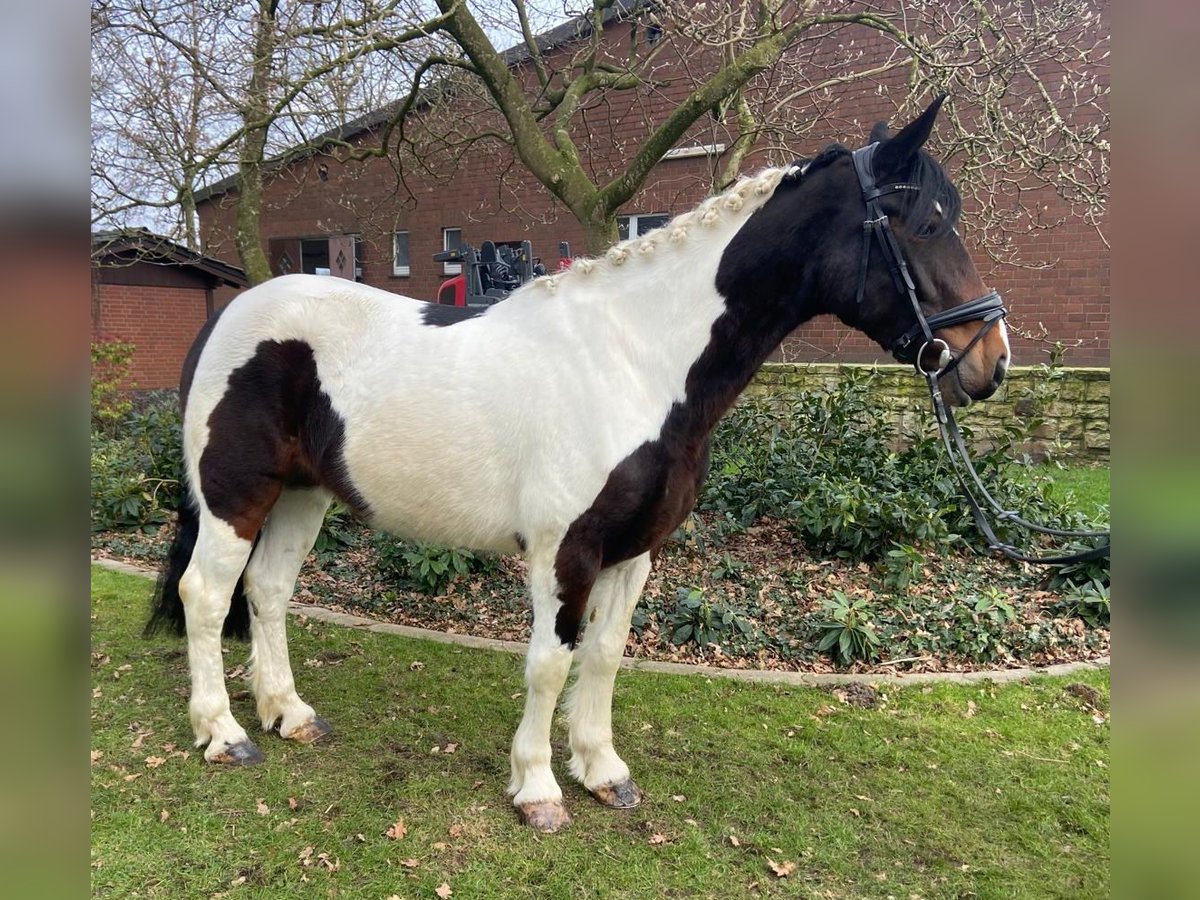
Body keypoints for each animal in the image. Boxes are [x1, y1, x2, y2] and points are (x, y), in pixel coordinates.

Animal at [145, 97, 1008, 830]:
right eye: (924, 223)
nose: (990, 361)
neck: (637, 360)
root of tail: (232, 312)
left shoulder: (634, 552)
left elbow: (604, 656)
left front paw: (601, 771)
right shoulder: (567, 551)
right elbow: (549, 665)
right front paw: (537, 789)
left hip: (301, 495)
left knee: (268, 591)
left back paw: (288, 714)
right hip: (234, 497)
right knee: (207, 595)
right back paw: (223, 733)